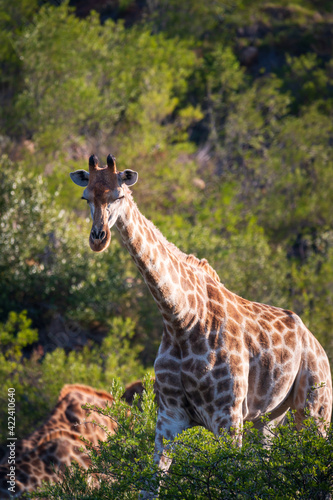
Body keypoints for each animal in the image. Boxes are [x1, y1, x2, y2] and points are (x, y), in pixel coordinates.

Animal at [69, 155, 330, 496]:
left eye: (119, 195)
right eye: (86, 197)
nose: (98, 238)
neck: (180, 319)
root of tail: (317, 344)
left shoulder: (227, 418)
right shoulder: (168, 417)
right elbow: (149, 487)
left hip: (315, 411)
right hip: (268, 419)